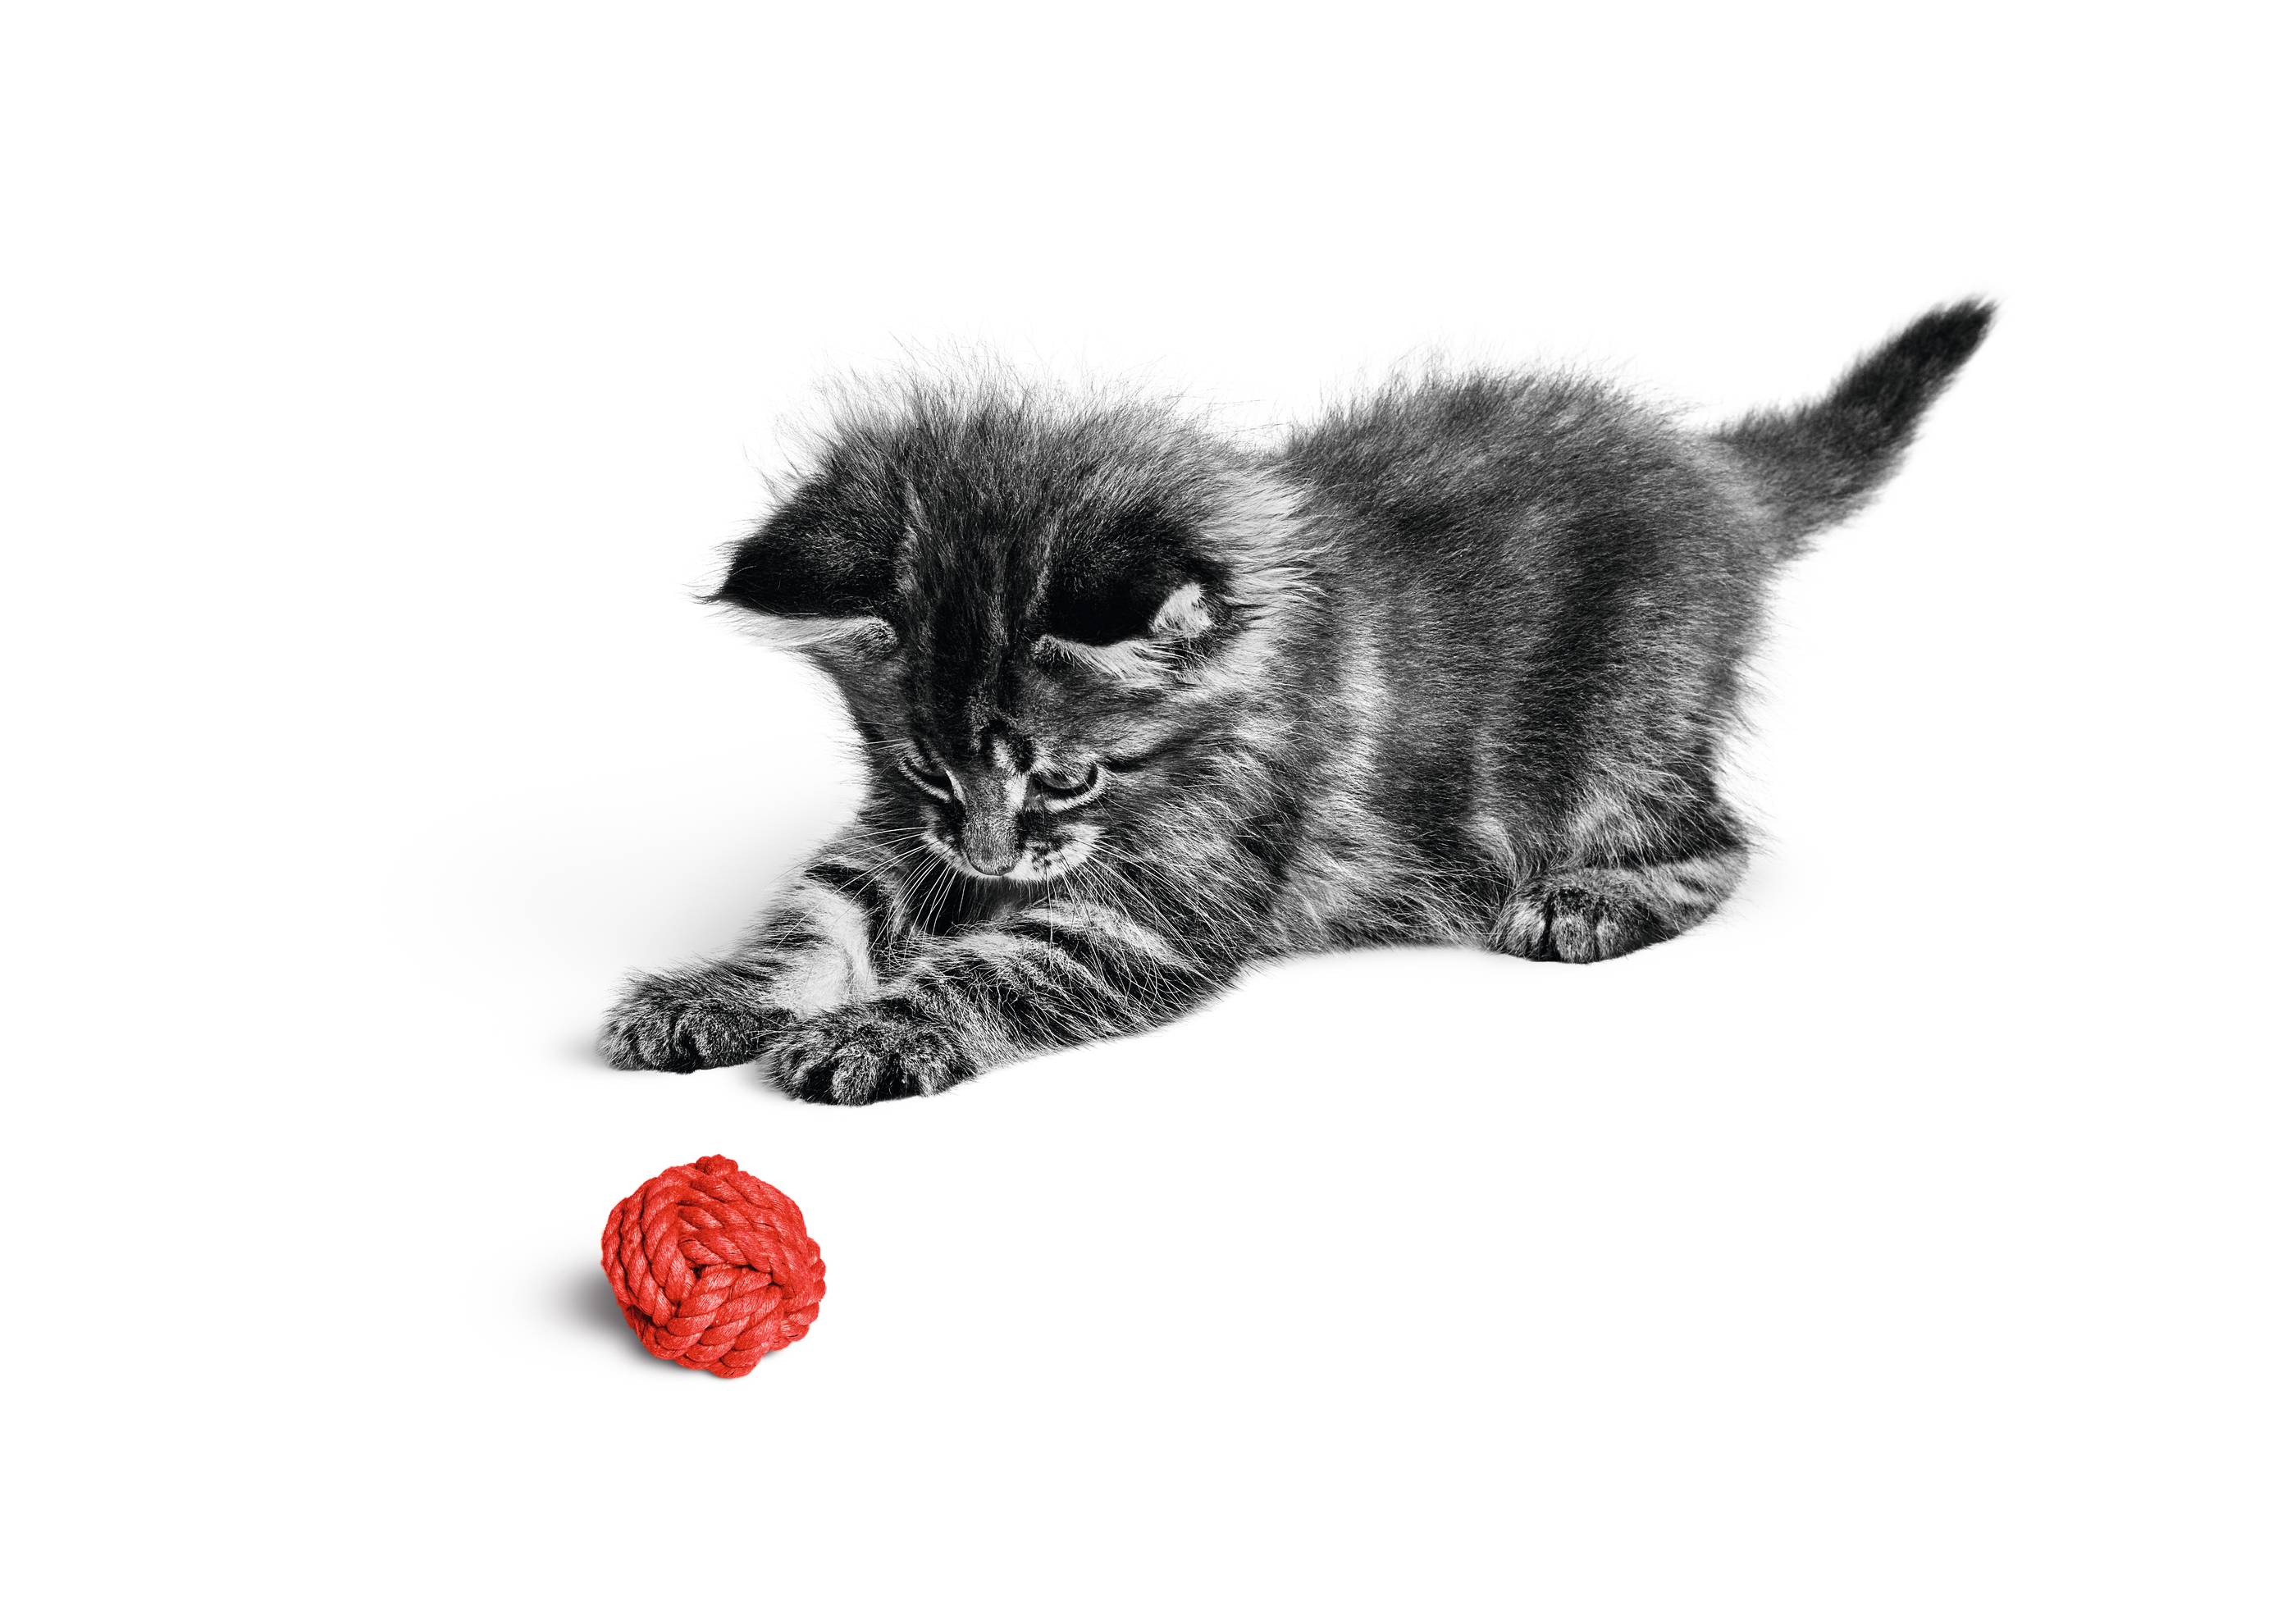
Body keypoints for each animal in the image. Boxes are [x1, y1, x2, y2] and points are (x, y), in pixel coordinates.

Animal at [596, 300, 1992, 1106]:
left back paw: (1586, 900)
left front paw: (876, 1031)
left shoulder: (1150, 905)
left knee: (1715, 843)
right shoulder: (901, 835)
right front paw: (710, 993)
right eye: (929, 769)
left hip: (1607, 740)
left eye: (1066, 775)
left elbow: (991, 967)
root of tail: (1711, 470)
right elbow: (812, 912)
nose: (989, 854)